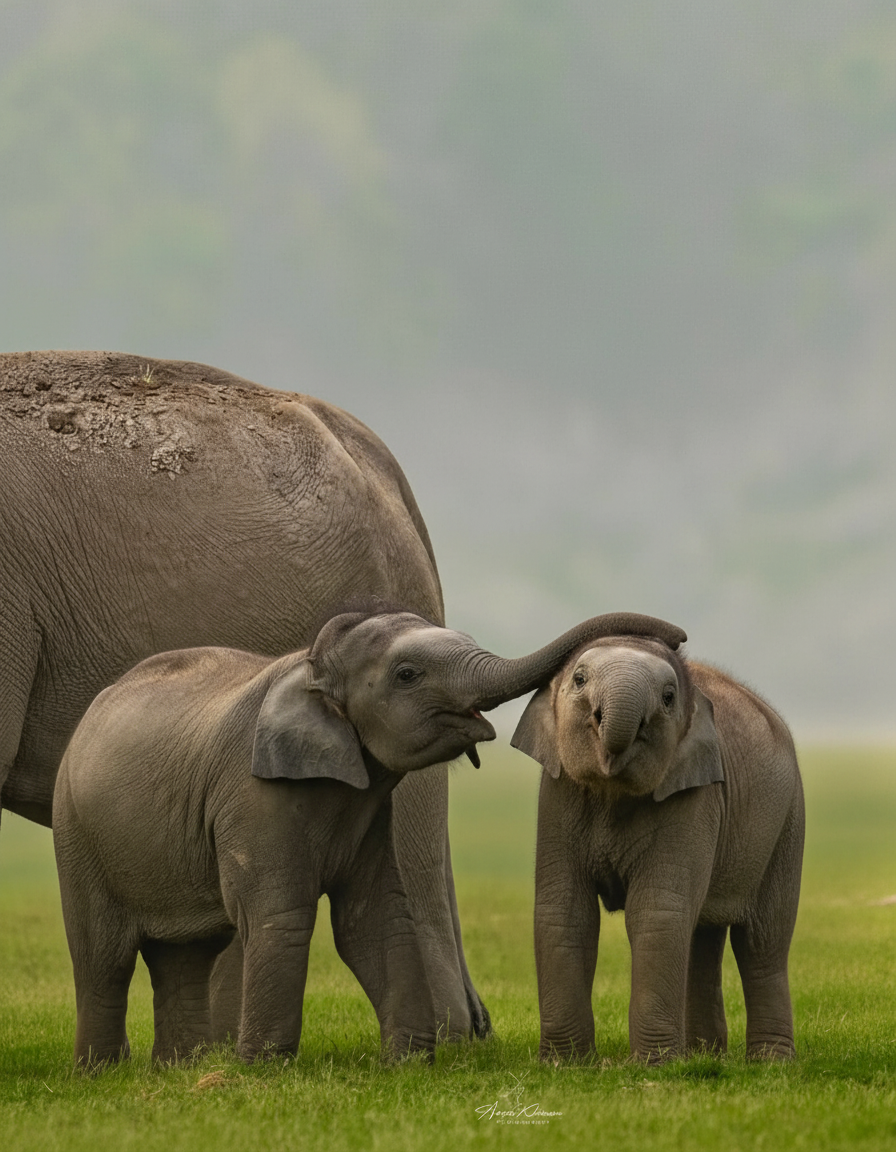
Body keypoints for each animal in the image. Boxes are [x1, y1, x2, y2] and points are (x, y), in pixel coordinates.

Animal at [52, 606, 687, 1066]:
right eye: (407, 676)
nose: (676, 638)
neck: (311, 667)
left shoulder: (368, 807)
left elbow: (373, 917)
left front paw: (408, 1062)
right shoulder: (253, 793)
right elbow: (280, 916)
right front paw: (263, 1071)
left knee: (185, 955)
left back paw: (178, 1069)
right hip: (75, 832)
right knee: (103, 954)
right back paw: (102, 1072)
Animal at [512, 635, 804, 1064]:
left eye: (668, 697)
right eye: (579, 679)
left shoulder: (693, 791)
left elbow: (657, 911)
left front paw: (654, 1066)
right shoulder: (558, 789)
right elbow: (565, 911)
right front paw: (564, 1064)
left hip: (787, 822)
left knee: (762, 943)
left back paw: (769, 1062)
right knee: (702, 938)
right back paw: (704, 1056)